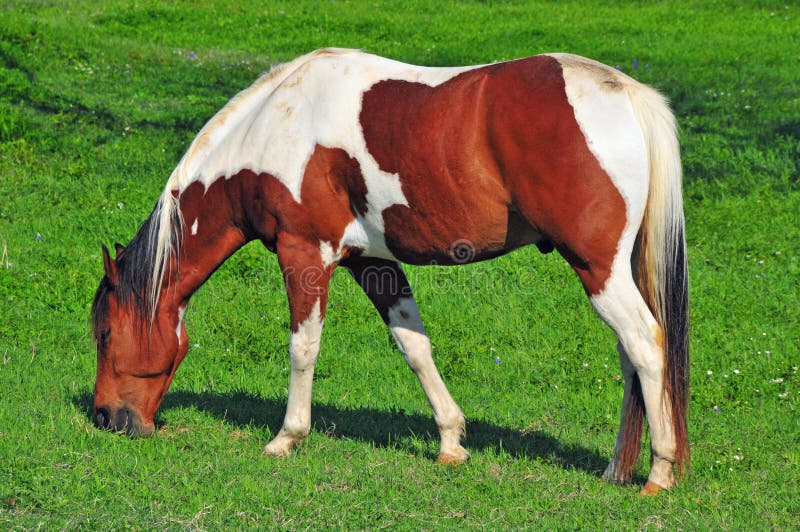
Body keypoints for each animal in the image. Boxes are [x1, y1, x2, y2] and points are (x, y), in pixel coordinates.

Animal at [91, 48, 689, 495]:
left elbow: (303, 347)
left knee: (645, 344)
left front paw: (288, 436)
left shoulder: (305, 254)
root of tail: (625, 93)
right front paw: (450, 442)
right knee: (630, 358)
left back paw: (658, 472)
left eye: (104, 333)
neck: (274, 127)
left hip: (598, 270)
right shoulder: (372, 261)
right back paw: (616, 469)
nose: (104, 419)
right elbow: (414, 346)